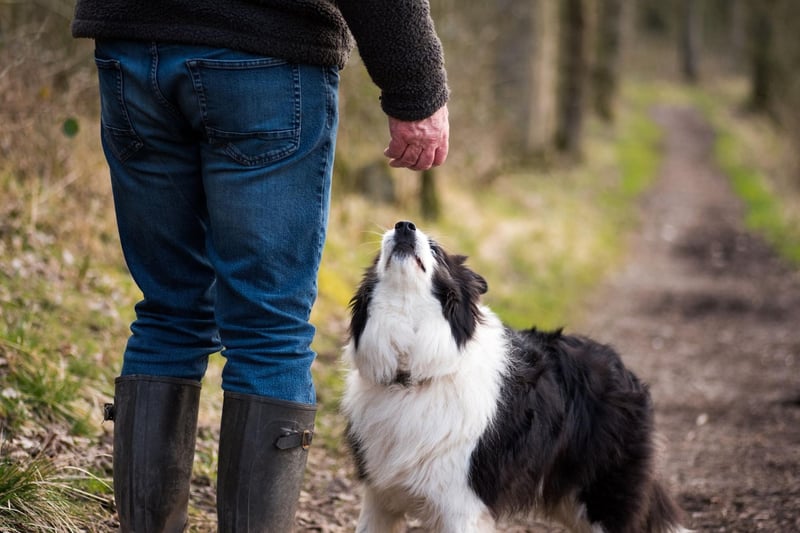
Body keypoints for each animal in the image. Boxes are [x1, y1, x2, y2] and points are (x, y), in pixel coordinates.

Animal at [340, 221, 684, 532]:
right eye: (379, 254)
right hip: (570, 498)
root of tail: (624, 369)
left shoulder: (463, 505)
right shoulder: (379, 497)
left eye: (436, 250)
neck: (411, 371)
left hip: (604, 495)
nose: (404, 226)